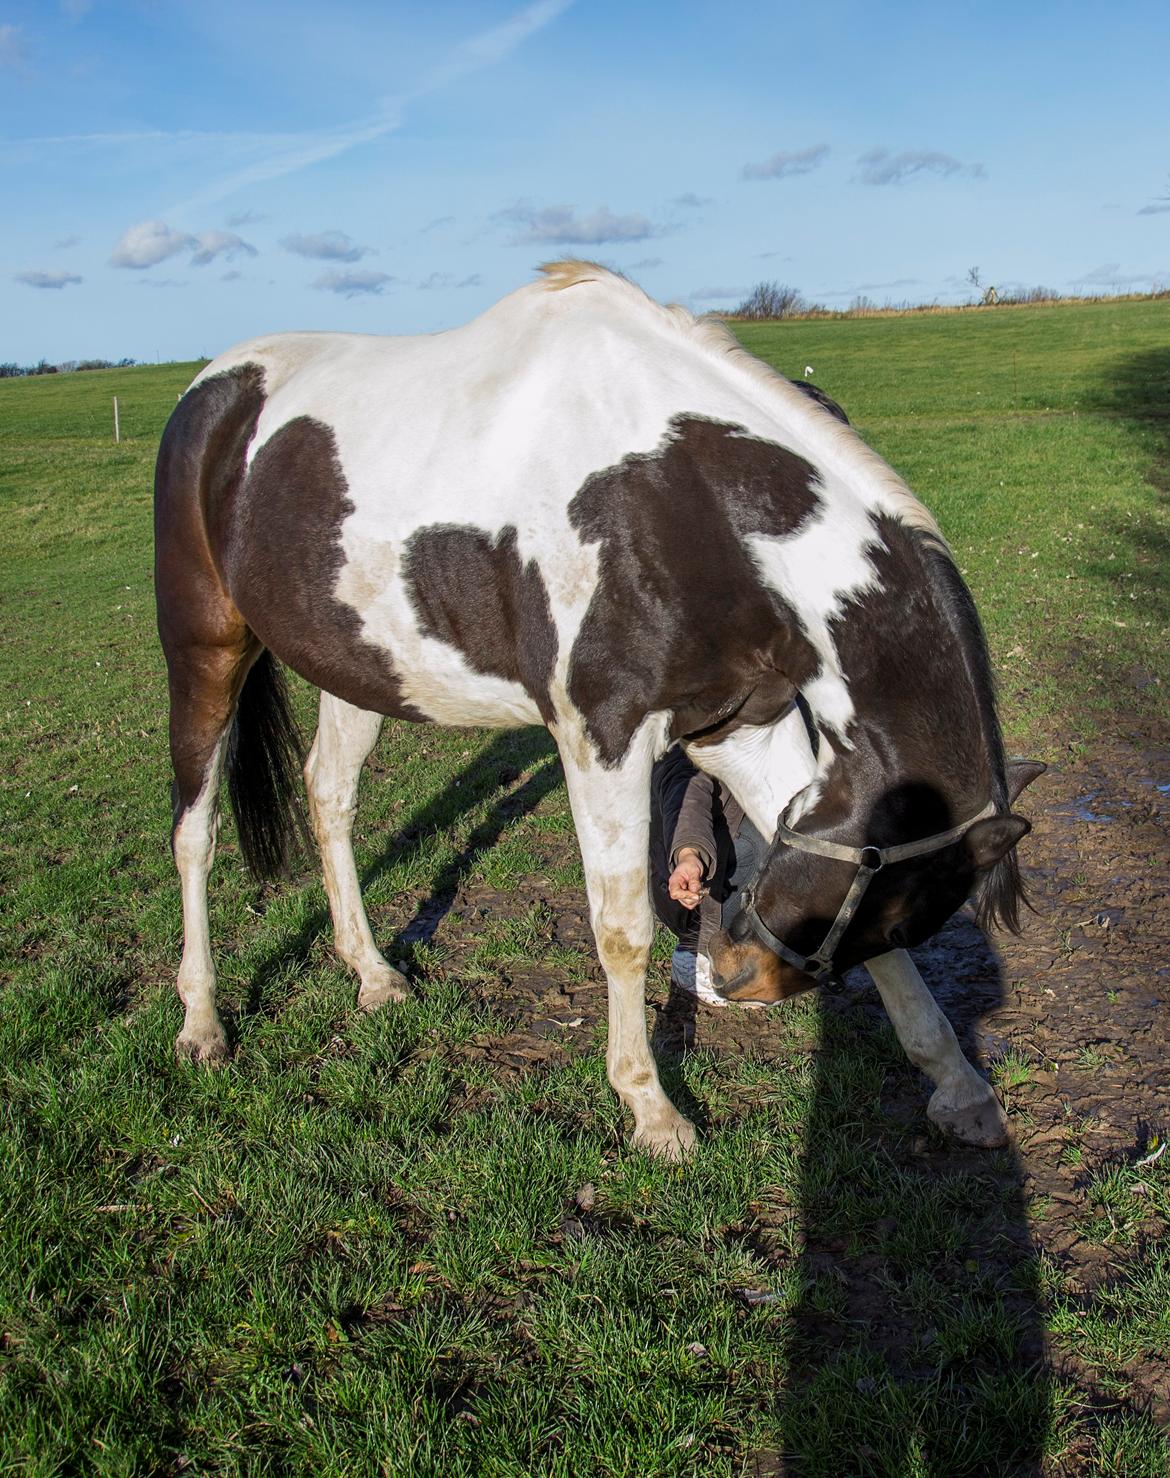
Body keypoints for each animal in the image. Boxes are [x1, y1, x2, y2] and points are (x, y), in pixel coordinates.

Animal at [150, 266, 1040, 1164]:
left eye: (902, 913)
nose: (742, 972)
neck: (680, 504)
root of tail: (214, 392)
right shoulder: (602, 738)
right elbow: (623, 928)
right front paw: (651, 1109)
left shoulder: (742, 729)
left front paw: (959, 1086)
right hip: (204, 652)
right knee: (195, 832)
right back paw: (202, 1024)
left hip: (362, 673)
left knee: (329, 796)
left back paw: (371, 974)